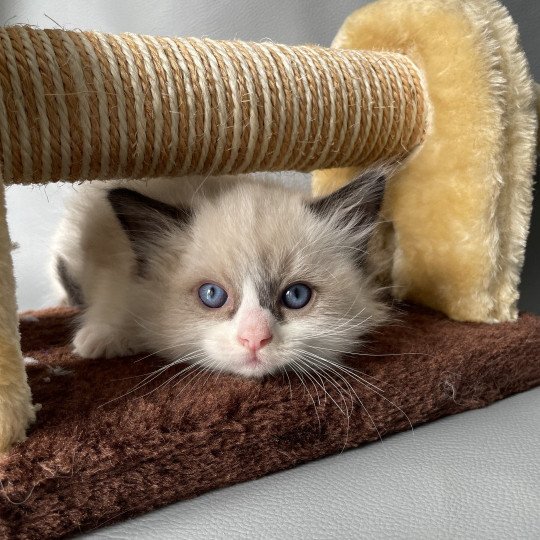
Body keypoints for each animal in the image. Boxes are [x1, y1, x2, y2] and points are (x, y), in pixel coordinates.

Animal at [52, 171, 390, 378]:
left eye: (296, 295)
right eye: (212, 295)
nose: (254, 339)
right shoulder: (116, 277)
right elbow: (116, 306)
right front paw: (99, 340)